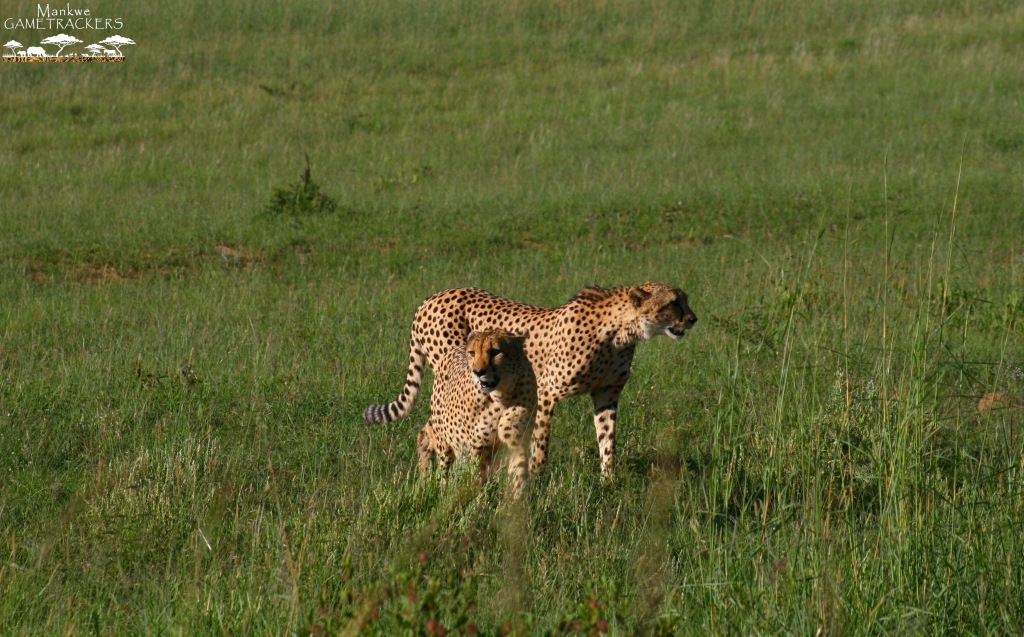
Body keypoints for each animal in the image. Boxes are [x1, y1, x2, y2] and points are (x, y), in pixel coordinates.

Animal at [364, 282, 697, 478]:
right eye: (672, 303)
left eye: (685, 300)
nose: (693, 319)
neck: (620, 331)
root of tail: (431, 297)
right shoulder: (547, 393)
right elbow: (541, 444)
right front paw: (537, 483)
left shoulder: (606, 393)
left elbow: (607, 441)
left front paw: (608, 483)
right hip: (461, 382)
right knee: (433, 430)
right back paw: (429, 480)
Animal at [415, 328, 536, 496]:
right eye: (472, 353)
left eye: (495, 352)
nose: (478, 372)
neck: (501, 396)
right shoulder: (479, 447)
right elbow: (477, 479)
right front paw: (479, 501)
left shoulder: (517, 442)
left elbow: (518, 474)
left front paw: (517, 499)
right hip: (445, 441)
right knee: (443, 470)